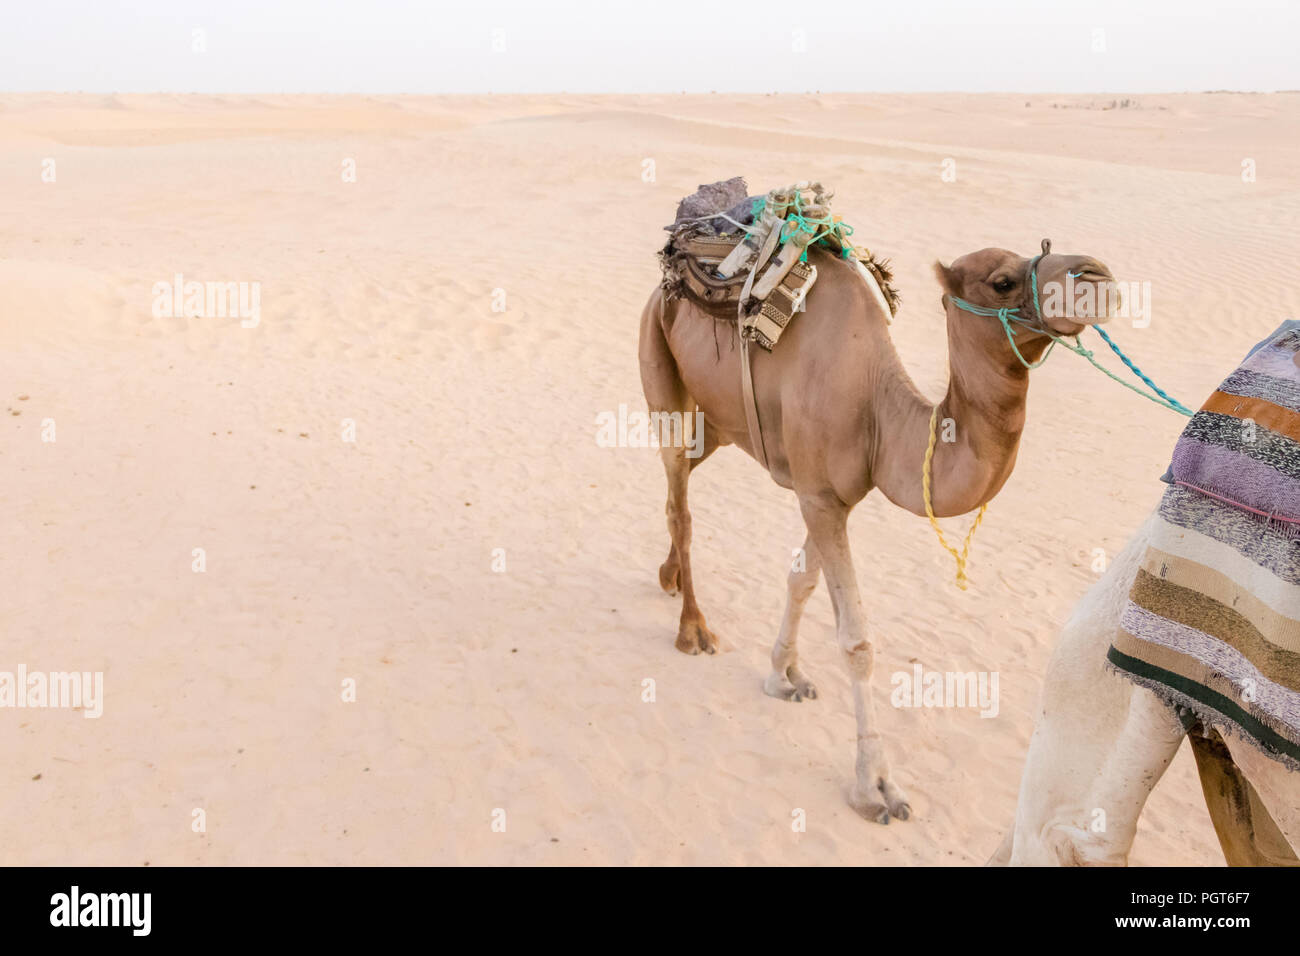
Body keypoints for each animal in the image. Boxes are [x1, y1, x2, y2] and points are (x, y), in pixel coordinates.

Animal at [637, 239, 1118, 822]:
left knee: (682, 479)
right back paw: (693, 629)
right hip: (659, 365)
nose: (1097, 276)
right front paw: (876, 787)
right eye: (1002, 281)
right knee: (678, 499)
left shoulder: (833, 497)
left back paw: (669, 577)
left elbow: (802, 581)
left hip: (719, 423)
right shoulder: (820, 499)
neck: (879, 410)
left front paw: (784, 675)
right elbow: (857, 641)